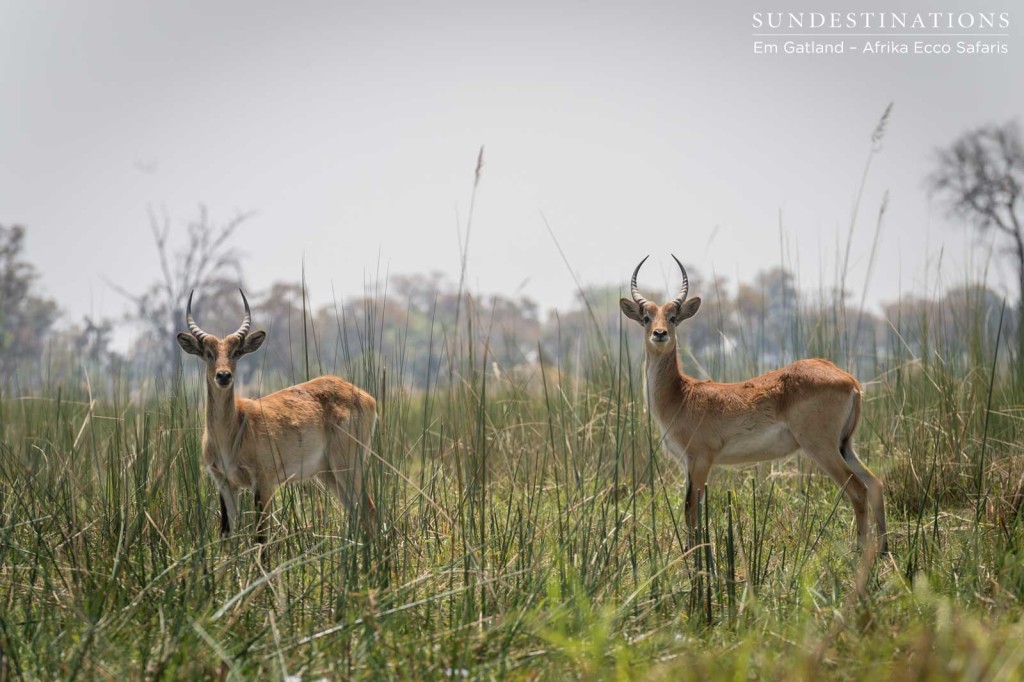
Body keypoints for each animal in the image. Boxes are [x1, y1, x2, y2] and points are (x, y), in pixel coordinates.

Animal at [178, 288, 378, 548]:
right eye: (208, 353)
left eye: (235, 352)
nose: (223, 376)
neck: (233, 429)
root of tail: (367, 396)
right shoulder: (224, 483)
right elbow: (227, 535)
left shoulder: (263, 482)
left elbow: (261, 538)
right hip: (328, 474)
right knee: (355, 511)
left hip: (348, 466)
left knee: (368, 509)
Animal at [618, 258, 884, 548]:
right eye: (646, 317)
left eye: (673, 317)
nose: (659, 333)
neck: (680, 395)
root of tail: (850, 380)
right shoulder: (689, 464)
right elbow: (692, 508)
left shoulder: (701, 460)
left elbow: (690, 509)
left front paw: (693, 553)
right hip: (845, 446)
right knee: (875, 483)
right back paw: (883, 548)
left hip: (822, 447)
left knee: (858, 490)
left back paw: (860, 550)